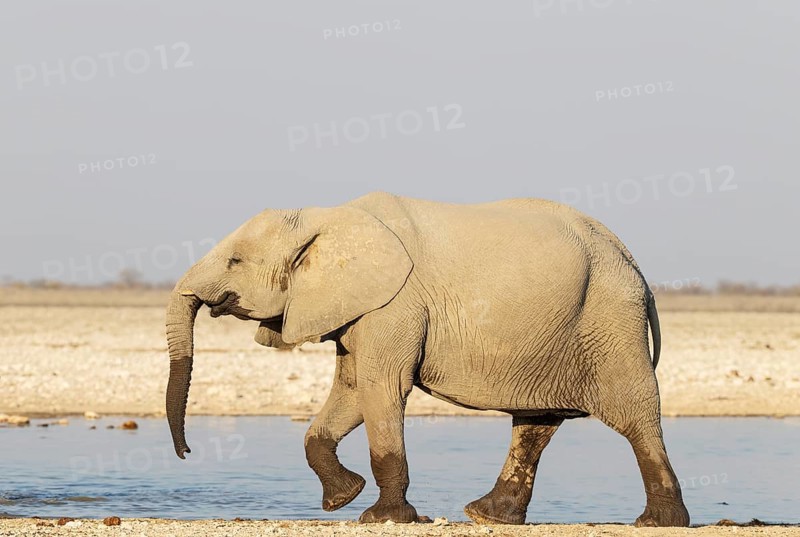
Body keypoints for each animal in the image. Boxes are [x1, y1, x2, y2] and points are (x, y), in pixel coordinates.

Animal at [165, 191, 690, 526]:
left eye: (234, 261)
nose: (187, 454)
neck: (324, 217)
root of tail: (632, 261)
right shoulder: (362, 307)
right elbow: (353, 390)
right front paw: (342, 499)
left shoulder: (395, 303)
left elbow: (381, 386)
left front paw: (381, 518)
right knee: (537, 422)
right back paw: (486, 516)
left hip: (609, 318)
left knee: (634, 413)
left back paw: (657, 522)